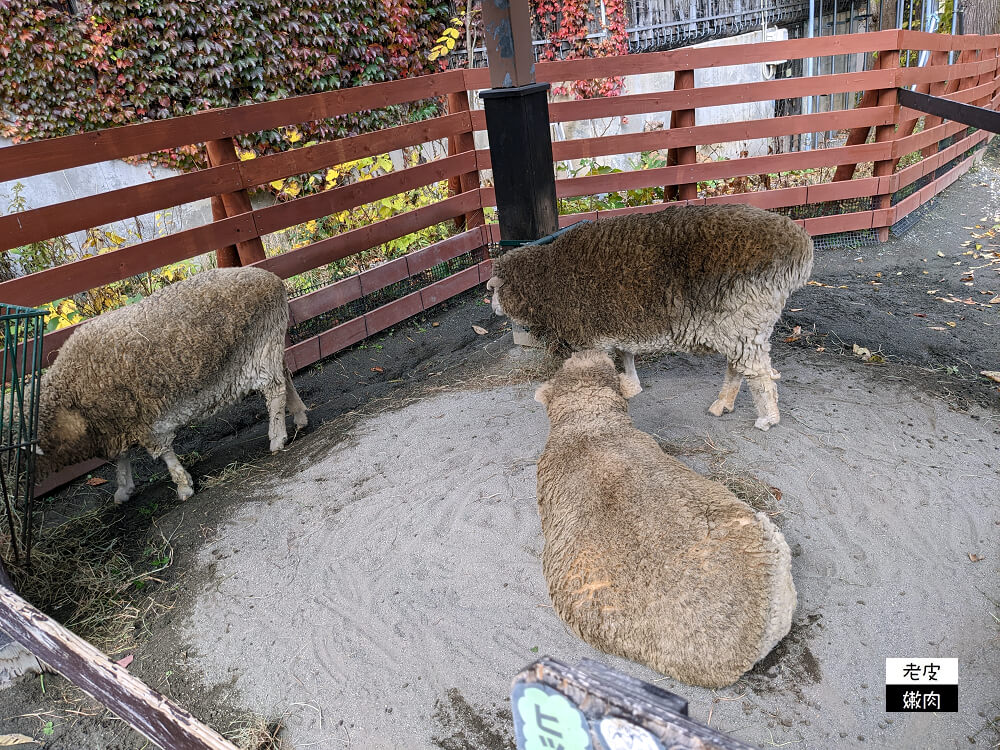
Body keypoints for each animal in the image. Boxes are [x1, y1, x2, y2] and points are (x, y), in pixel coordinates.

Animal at [36, 266, 308, 506]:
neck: (69, 398)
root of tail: (272, 278)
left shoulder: (143, 421)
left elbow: (163, 454)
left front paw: (183, 485)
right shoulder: (115, 424)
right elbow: (121, 458)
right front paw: (124, 489)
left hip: (261, 346)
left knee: (275, 390)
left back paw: (277, 438)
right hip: (270, 343)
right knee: (285, 376)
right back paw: (299, 416)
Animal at [488, 203, 816, 432]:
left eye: (497, 288)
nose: (492, 303)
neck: (547, 280)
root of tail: (800, 244)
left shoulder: (591, 339)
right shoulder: (619, 326)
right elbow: (627, 356)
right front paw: (632, 385)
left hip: (744, 318)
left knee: (759, 374)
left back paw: (768, 418)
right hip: (738, 326)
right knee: (738, 368)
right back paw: (724, 404)